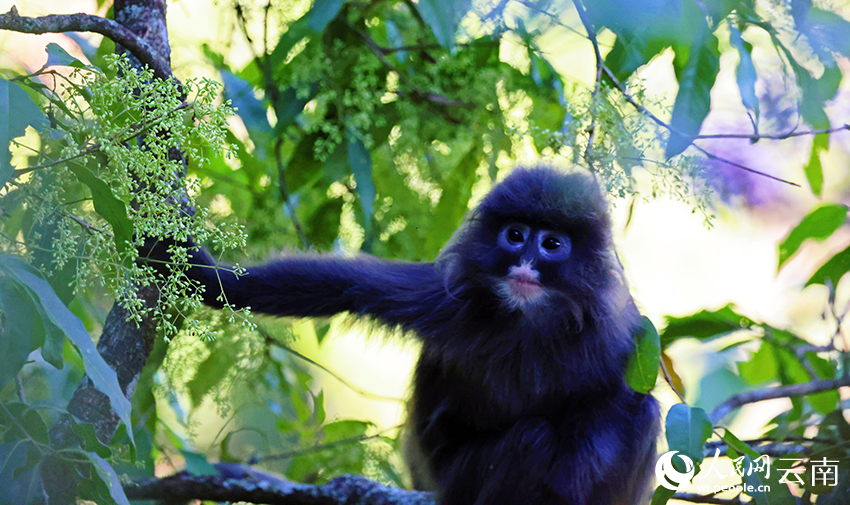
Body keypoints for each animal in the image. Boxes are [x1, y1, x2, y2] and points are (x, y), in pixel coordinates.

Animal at [141, 165, 660, 505]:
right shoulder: (448, 298)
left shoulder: (613, 332)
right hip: (459, 483)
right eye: (515, 235)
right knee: (532, 438)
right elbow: (338, 285)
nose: (526, 265)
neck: (525, 318)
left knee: (641, 412)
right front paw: (202, 271)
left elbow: (617, 400)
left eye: (552, 244)